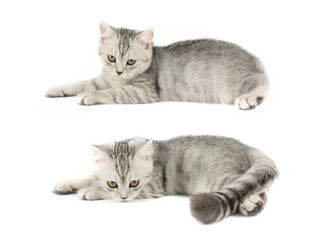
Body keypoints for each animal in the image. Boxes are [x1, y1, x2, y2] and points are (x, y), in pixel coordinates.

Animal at [46, 22, 268, 109]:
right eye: (111, 58)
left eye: (131, 61)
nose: (119, 71)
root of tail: (254, 58)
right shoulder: (103, 78)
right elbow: (81, 83)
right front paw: (57, 89)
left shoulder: (143, 92)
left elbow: (110, 93)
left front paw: (89, 96)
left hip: (231, 87)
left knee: (263, 82)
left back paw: (247, 99)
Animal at [52, 136, 278, 224]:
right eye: (113, 183)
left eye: (134, 183)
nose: (124, 198)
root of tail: (249, 148)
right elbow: (89, 175)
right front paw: (66, 184)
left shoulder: (151, 187)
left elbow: (97, 186)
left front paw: (90, 191)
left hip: (221, 176)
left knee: (255, 185)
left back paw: (252, 203)